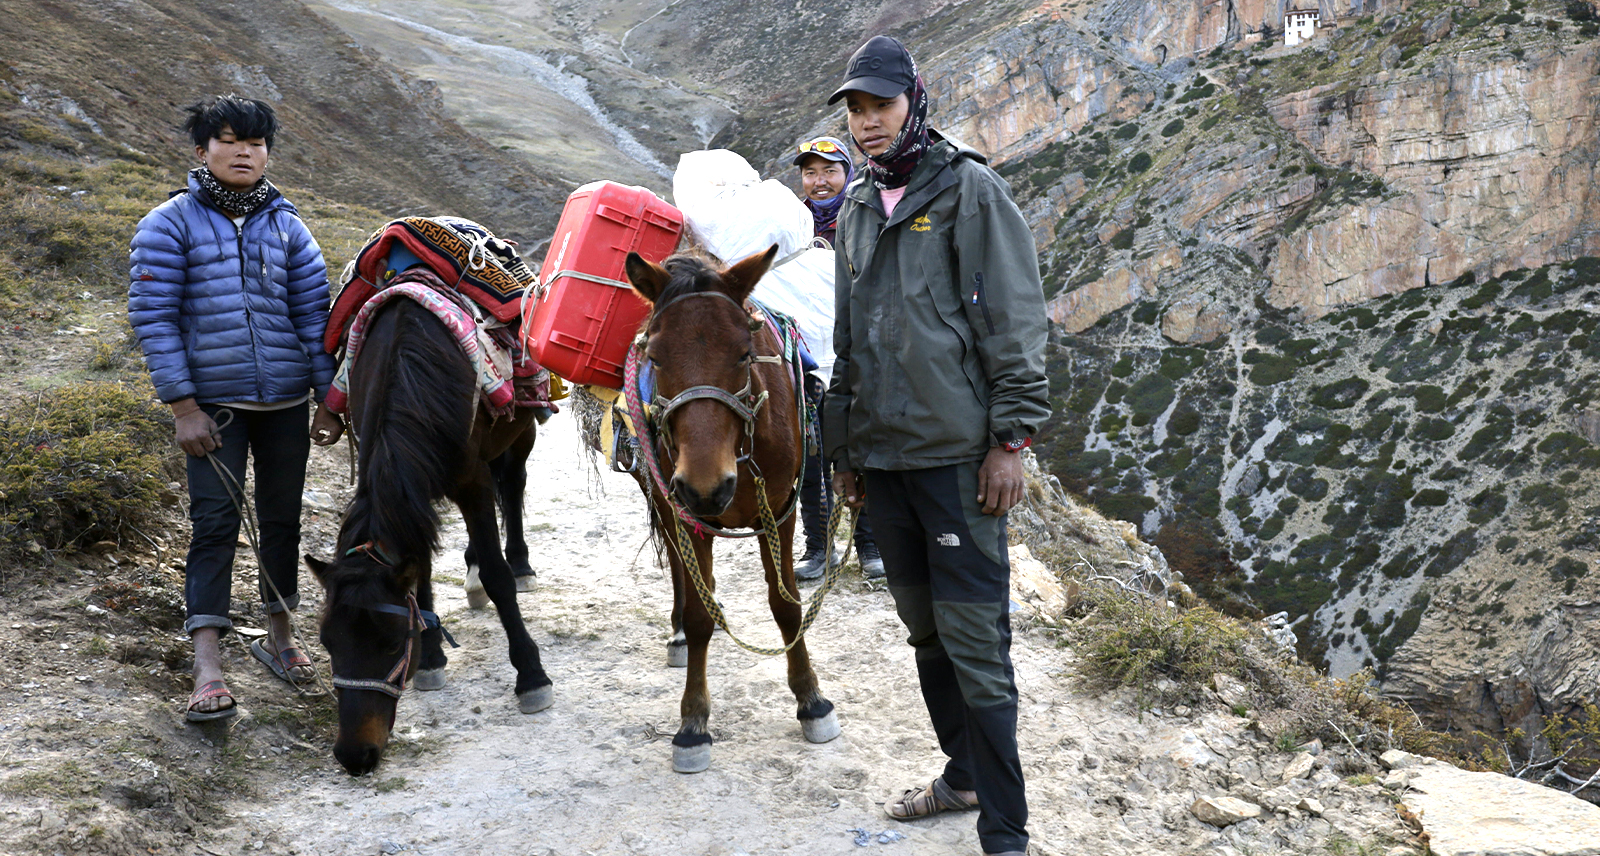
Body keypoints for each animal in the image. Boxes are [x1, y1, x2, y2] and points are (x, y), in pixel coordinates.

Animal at [305, 296, 556, 777]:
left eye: (389, 642)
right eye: (327, 643)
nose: (354, 756)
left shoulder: (472, 482)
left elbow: (498, 577)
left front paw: (532, 676)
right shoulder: (411, 484)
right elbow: (419, 566)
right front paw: (432, 657)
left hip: (521, 429)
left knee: (514, 481)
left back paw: (521, 563)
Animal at [620, 244, 844, 774]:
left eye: (744, 351)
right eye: (654, 356)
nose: (706, 487)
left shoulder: (778, 511)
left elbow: (786, 605)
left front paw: (812, 701)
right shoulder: (686, 513)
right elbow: (700, 614)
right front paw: (692, 724)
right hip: (666, 504)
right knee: (681, 573)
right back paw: (680, 634)